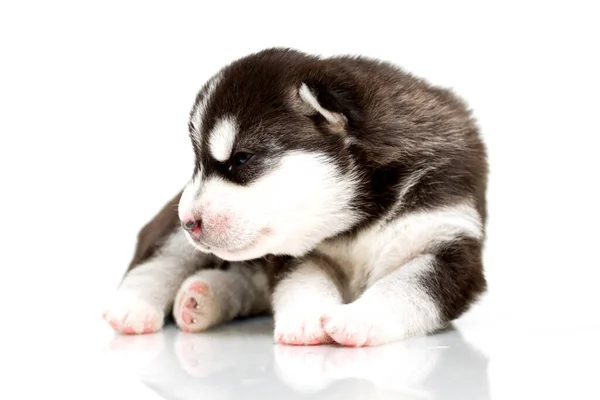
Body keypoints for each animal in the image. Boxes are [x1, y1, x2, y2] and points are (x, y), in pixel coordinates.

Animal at [103, 48, 488, 346]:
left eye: (241, 159)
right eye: (197, 164)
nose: (189, 222)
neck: (359, 219)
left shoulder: (450, 239)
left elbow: (407, 286)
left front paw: (360, 320)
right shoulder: (295, 255)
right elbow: (303, 281)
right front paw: (308, 318)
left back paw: (201, 299)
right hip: (171, 232)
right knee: (160, 260)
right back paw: (134, 308)